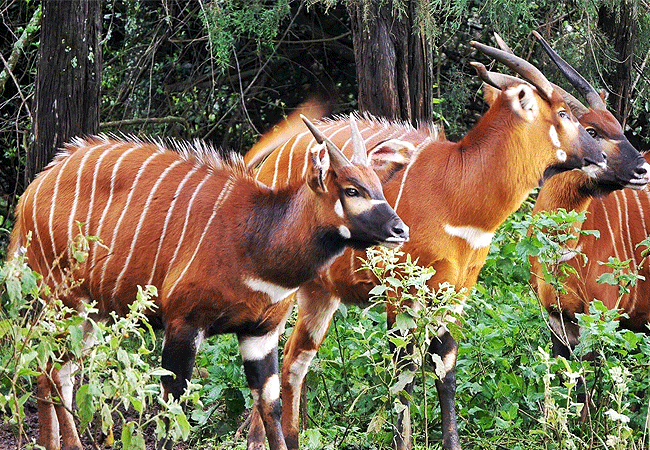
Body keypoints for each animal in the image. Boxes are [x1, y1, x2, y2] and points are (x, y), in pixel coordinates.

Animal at [7, 117, 408, 450]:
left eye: (378, 186)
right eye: (352, 190)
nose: (400, 229)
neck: (256, 237)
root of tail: (30, 193)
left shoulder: (260, 332)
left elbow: (270, 405)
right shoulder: (184, 322)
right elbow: (171, 407)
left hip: (92, 314)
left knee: (56, 371)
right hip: (65, 300)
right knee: (47, 370)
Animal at [242, 39, 604, 450]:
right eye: (564, 113)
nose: (600, 155)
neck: (458, 189)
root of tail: (269, 162)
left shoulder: (456, 292)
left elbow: (445, 370)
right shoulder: (400, 291)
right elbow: (403, 375)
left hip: (319, 292)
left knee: (292, 359)